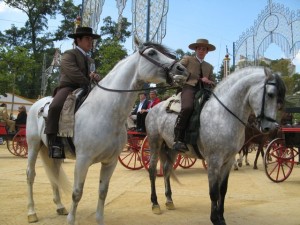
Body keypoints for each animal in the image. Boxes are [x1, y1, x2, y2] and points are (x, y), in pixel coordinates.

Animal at [26, 40, 190, 225]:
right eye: (152, 53)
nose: (182, 69)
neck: (104, 112)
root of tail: (37, 104)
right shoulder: (83, 160)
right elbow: (77, 193)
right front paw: (71, 220)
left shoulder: (110, 162)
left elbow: (103, 191)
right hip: (33, 146)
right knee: (31, 175)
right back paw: (32, 212)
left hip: (54, 153)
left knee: (53, 174)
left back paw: (60, 206)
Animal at [145, 67, 286, 225]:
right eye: (270, 94)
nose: (271, 127)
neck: (223, 115)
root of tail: (153, 109)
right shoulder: (214, 161)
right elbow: (213, 192)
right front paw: (214, 219)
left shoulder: (228, 161)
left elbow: (222, 190)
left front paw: (221, 217)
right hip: (154, 143)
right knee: (152, 171)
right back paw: (155, 203)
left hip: (171, 148)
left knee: (166, 170)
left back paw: (169, 200)